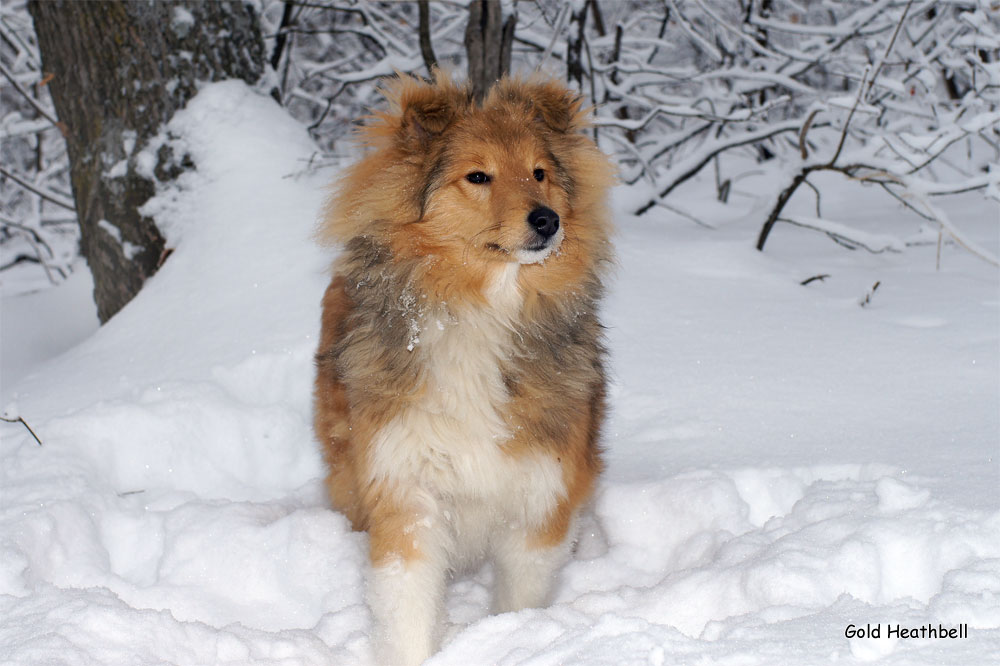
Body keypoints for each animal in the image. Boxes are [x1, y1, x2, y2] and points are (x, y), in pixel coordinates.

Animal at [312, 72, 612, 664]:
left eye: (539, 172)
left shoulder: (538, 496)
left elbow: (521, 595)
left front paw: (511, 638)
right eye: (478, 176)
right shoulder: (405, 486)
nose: (548, 220)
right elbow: (404, 606)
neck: (481, 307)